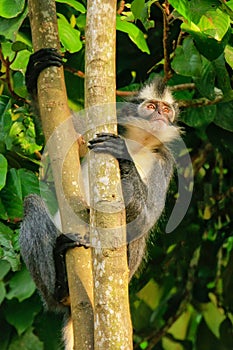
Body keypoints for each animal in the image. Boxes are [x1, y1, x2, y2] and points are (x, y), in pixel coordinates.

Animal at [19, 47, 180, 348]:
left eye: (166, 109)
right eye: (151, 107)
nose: (161, 116)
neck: (139, 143)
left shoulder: (165, 161)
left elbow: (148, 216)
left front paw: (123, 156)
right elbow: (65, 140)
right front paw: (34, 72)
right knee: (32, 204)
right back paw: (61, 287)